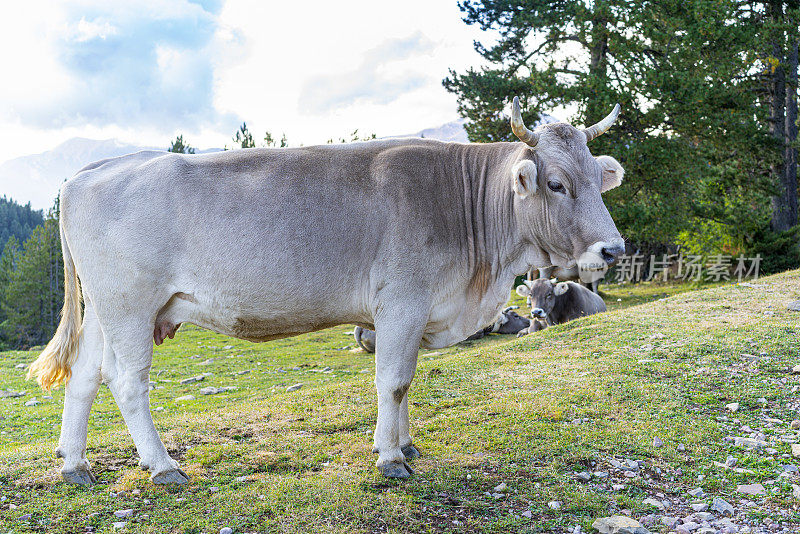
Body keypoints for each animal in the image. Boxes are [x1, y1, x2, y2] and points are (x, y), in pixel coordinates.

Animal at [28, 95, 628, 486]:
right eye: (557, 183)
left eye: (598, 181)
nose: (613, 250)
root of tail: (92, 169)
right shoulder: (401, 303)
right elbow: (393, 382)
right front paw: (390, 459)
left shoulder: (412, 312)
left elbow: (405, 382)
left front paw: (404, 443)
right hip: (130, 303)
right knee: (126, 381)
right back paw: (162, 467)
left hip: (104, 310)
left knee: (84, 376)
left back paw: (75, 464)